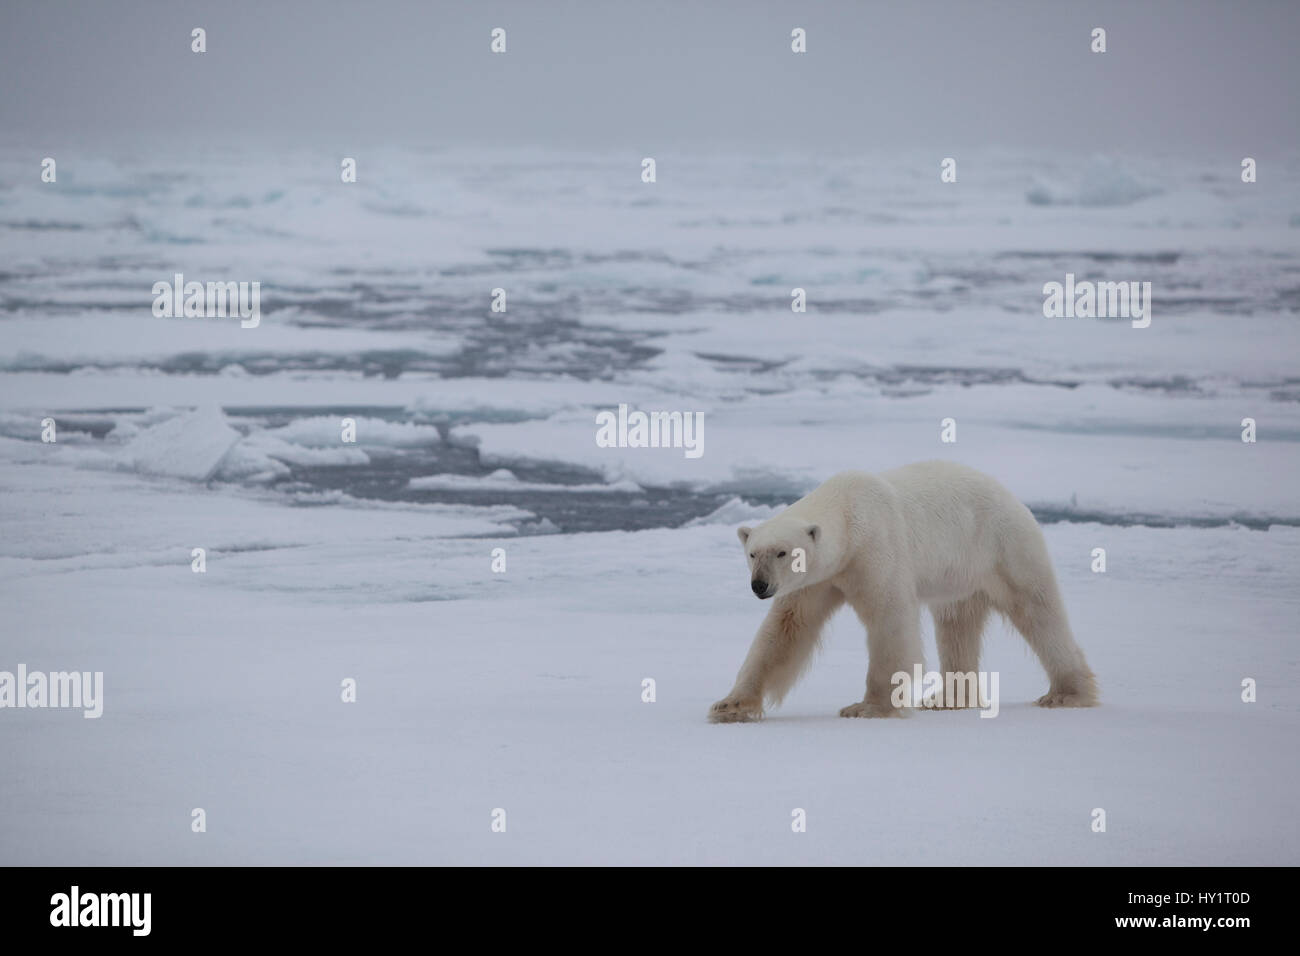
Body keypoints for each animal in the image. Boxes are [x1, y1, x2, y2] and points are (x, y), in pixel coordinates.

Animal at [712, 460, 1097, 723]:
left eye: (783, 552)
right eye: (753, 553)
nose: (760, 585)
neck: (847, 510)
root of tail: (1011, 496)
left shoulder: (876, 548)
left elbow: (890, 621)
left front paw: (867, 707)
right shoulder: (818, 579)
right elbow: (785, 631)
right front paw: (730, 706)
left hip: (1004, 546)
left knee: (1038, 612)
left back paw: (1066, 694)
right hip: (960, 575)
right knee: (957, 626)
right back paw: (948, 698)